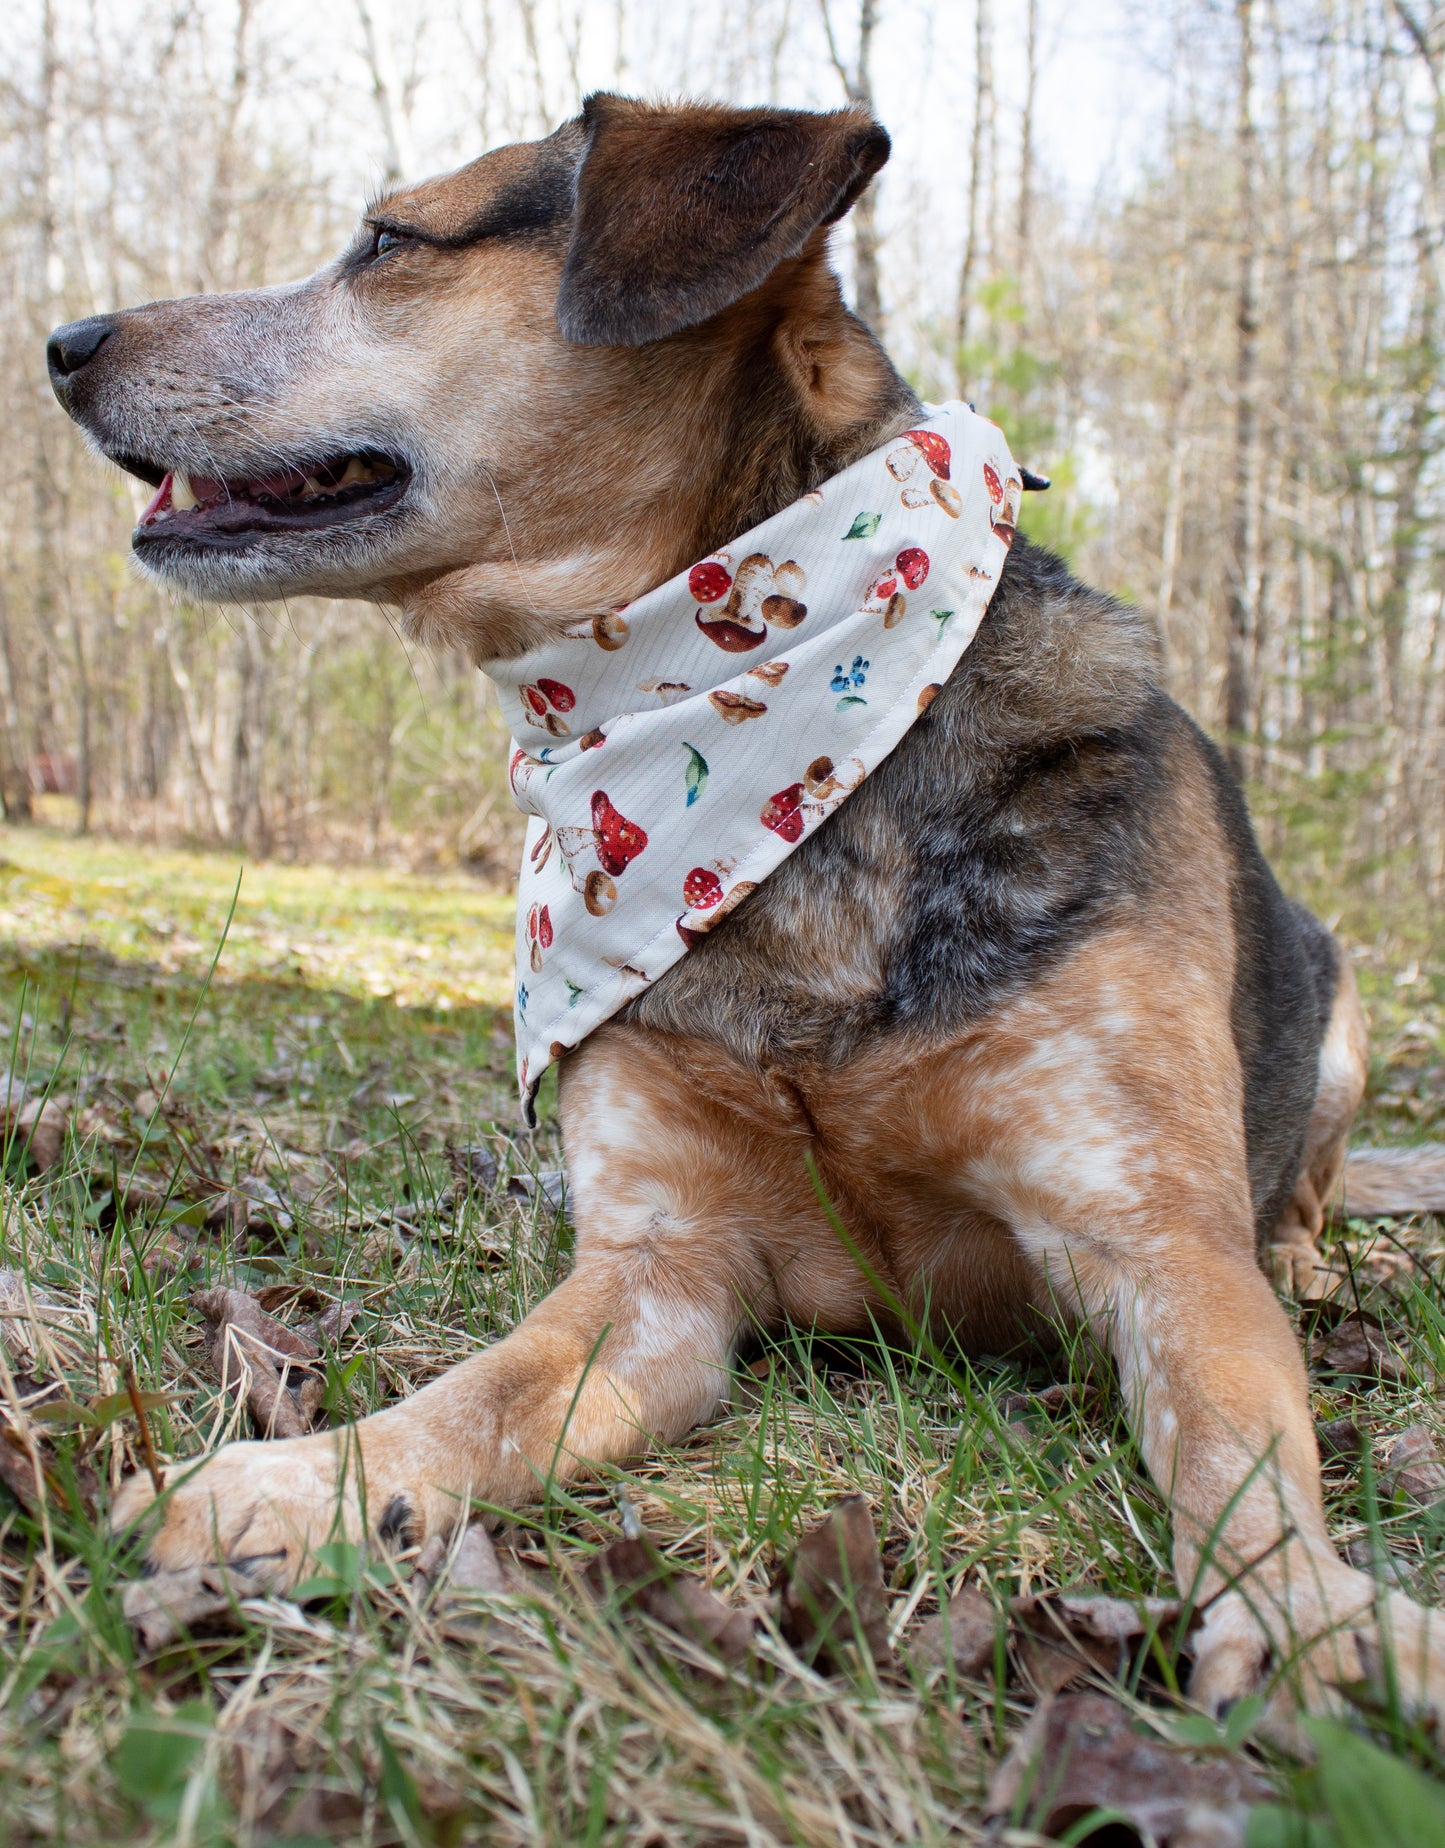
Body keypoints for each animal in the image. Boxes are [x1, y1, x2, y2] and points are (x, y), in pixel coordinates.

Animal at [45, 97, 1445, 1714]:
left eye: (390, 241)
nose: (63, 339)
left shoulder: (1153, 1245)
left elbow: (1234, 1458)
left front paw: (1307, 1611)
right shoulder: (658, 1278)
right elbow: (474, 1399)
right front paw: (295, 1484)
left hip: (1340, 1017)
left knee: (1300, 1198)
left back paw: (1304, 1251)